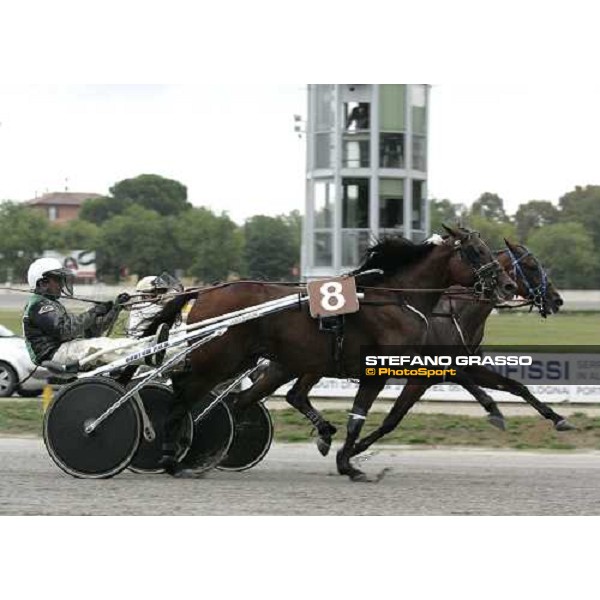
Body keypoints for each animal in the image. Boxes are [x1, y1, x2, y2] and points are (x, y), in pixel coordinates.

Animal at [150, 225, 516, 482]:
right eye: (477, 251)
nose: (508, 285)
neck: (395, 300)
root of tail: (205, 290)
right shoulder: (381, 370)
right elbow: (359, 418)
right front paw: (348, 464)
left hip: (259, 361)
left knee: (235, 402)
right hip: (219, 358)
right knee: (183, 395)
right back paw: (172, 457)